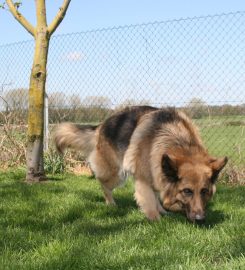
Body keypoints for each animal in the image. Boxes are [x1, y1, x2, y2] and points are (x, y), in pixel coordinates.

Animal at [54, 105, 228, 221]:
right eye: (187, 191)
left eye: (204, 191)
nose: (200, 219)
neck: (179, 142)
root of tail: (102, 125)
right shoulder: (143, 179)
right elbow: (150, 202)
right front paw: (156, 219)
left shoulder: (157, 174)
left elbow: (157, 197)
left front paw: (163, 211)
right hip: (116, 175)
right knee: (103, 183)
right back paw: (111, 203)